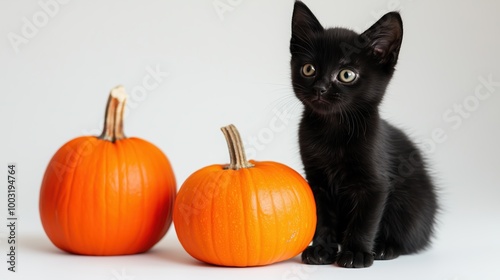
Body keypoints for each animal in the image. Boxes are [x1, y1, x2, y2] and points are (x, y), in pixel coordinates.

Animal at [292, 2, 436, 270]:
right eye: (309, 69)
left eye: (346, 74)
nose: (320, 88)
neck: (333, 131)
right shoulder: (317, 180)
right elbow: (323, 217)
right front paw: (321, 249)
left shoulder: (375, 184)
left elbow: (364, 220)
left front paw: (356, 253)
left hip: (413, 206)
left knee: (409, 237)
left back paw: (385, 248)